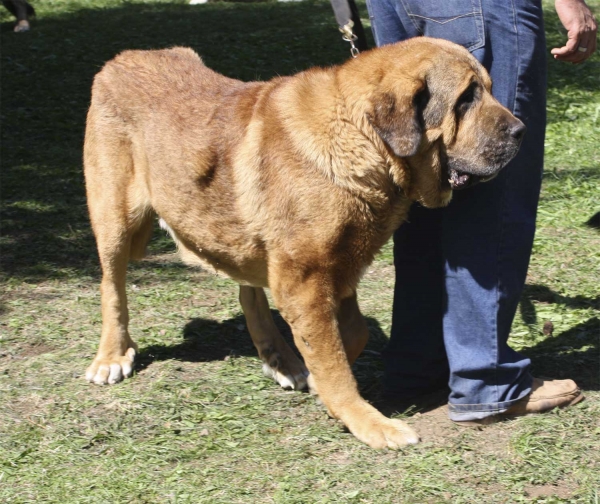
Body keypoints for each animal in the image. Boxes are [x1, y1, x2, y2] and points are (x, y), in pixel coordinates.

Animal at [83, 38, 524, 448]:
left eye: (486, 89)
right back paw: (111, 357)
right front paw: (367, 421)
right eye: (466, 98)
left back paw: (281, 359)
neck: (358, 135)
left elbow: (350, 336)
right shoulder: (305, 280)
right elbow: (333, 359)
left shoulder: (340, 267)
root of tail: (121, 59)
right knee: (112, 287)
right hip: (116, 220)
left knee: (248, 290)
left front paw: (314, 377)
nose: (521, 131)